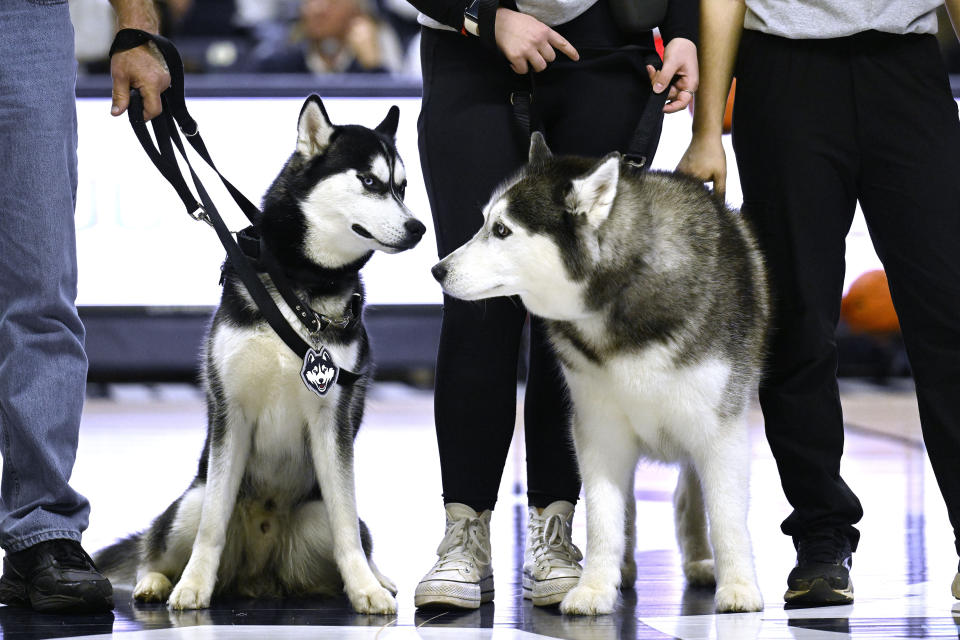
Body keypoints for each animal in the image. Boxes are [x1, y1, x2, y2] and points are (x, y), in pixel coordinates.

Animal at [96, 96, 424, 616]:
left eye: (403, 186)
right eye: (370, 182)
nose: (418, 227)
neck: (301, 288)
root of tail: (259, 579)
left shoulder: (333, 420)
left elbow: (346, 523)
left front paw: (366, 589)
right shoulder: (231, 413)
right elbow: (212, 524)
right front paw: (193, 585)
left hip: (314, 514)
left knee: (355, 531)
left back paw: (376, 577)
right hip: (190, 499)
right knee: (156, 543)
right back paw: (156, 582)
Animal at [432, 134, 768, 616]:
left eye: (502, 231)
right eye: (484, 224)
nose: (437, 270)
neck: (622, 295)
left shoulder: (720, 429)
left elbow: (726, 515)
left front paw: (739, 586)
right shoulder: (598, 429)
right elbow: (604, 517)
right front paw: (593, 587)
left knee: (689, 493)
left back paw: (701, 561)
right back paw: (625, 568)